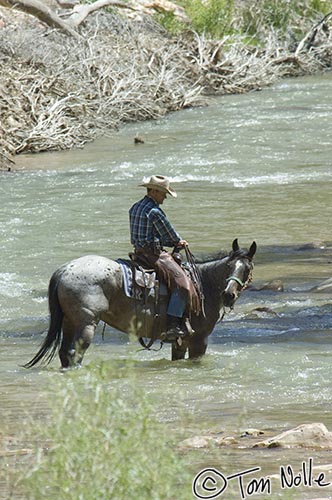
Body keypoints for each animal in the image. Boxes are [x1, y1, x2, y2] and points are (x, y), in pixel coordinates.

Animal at [24, 238, 255, 368]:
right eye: (230, 266)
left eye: (246, 268)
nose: (229, 295)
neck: (203, 285)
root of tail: (65, 269)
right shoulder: (199, 341)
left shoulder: (181, 342)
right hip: (86, 323)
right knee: (74, 353)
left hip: (69, 321)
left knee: (64, 353)